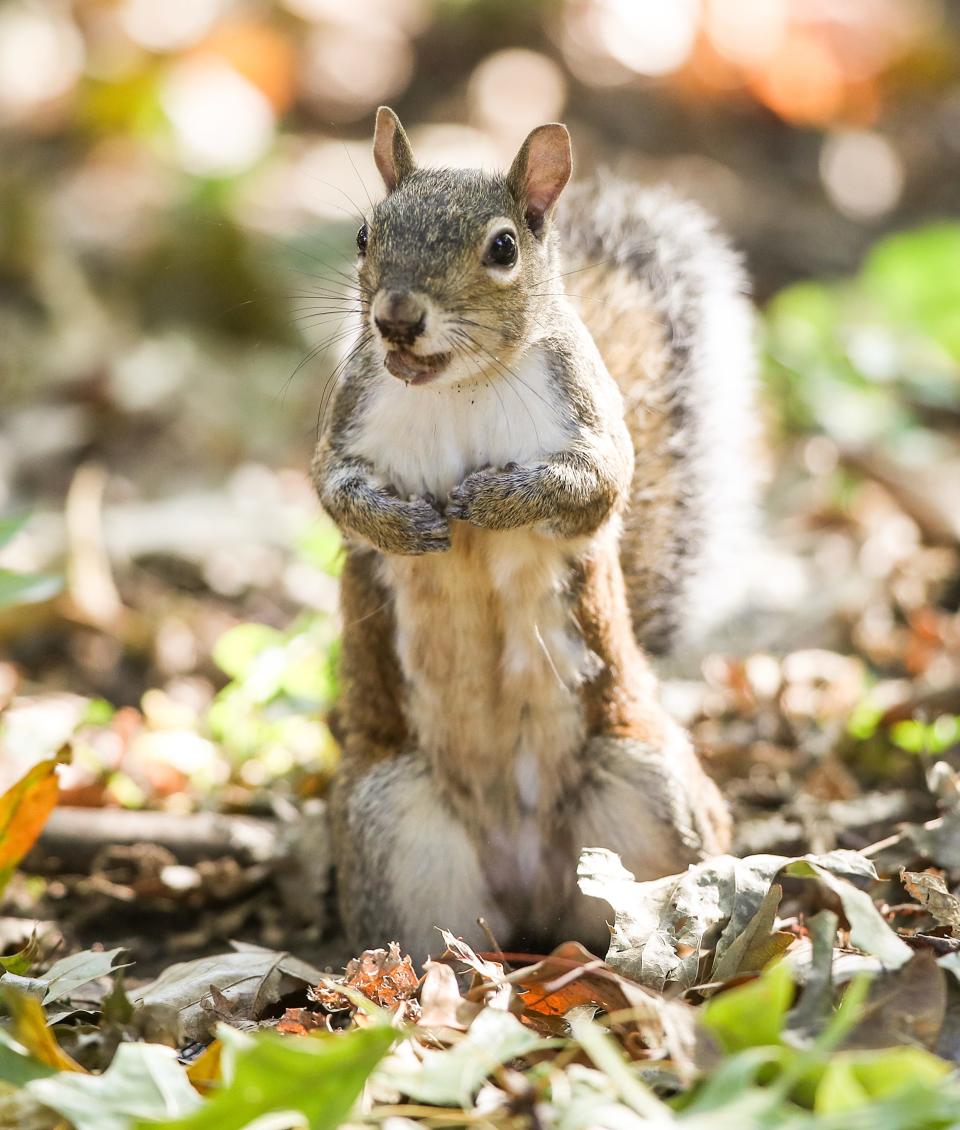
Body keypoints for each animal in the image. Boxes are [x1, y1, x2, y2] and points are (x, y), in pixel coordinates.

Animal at [311, 106, 754, 958]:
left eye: (503, 248)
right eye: (364, 233)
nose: (396, 319)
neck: (462, 384)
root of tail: (531, 893)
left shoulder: (588, 421)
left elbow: (595, 486)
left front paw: (497, 501)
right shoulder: (345, 424)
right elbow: (337, 496)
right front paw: (403, 523)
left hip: (647, 788)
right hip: (392, 824)